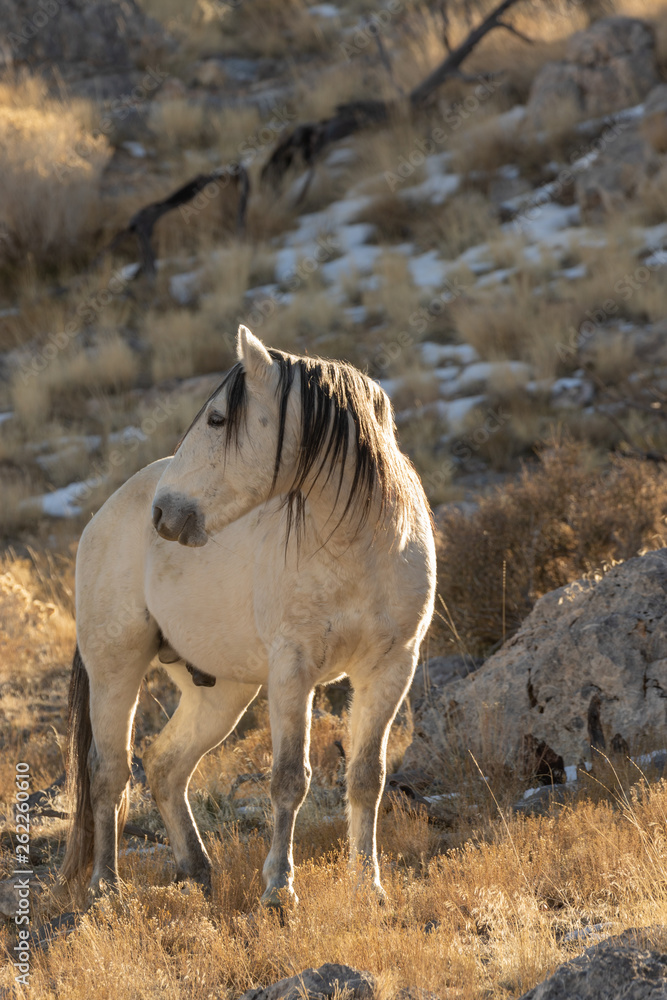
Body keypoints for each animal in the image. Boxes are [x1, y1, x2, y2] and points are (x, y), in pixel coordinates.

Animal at [60, 325, 436, 907]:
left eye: (217, 419)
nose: (165, 514)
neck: (361, 548)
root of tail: (102, 517)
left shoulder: (391, 668)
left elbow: (366, 777)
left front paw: (367, 886)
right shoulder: (293, 670)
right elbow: (289, 779)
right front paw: (279, 889)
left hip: (222, 690)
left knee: (165, 766)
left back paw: (196, 871)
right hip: (115, 669)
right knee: (109, 773)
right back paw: (106, 886)